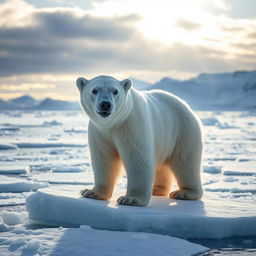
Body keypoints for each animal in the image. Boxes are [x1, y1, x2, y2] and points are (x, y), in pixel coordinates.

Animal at [75, 74, 202, 206]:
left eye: (115, 91)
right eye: (94, 90)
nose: (105, 104)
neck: (113, 123)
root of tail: (186, 106)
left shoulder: (131, 124)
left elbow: (137, 158)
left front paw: (130, 199)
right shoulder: (99, 131)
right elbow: (103, 159)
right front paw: (91, 192)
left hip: (183, 131)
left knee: (185, 162)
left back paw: (184, 192)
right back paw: (156, 189)